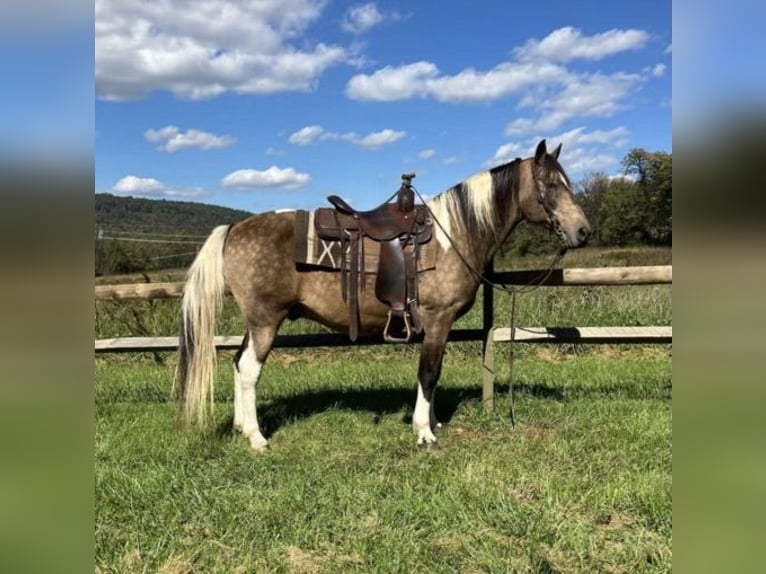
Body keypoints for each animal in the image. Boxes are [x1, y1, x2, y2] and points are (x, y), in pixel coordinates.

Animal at [176, 138, 592, 450]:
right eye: (551, 185)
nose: (584, 231)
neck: (454, 233)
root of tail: (233, 228)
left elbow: (434, 374)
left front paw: (434, 422)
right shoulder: (438, 320)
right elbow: (428, 373)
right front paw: (423, 432)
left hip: (255, 322)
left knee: (237, 363)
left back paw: (240, 426)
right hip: (266, 320)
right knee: (249, 369)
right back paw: (257, 437)